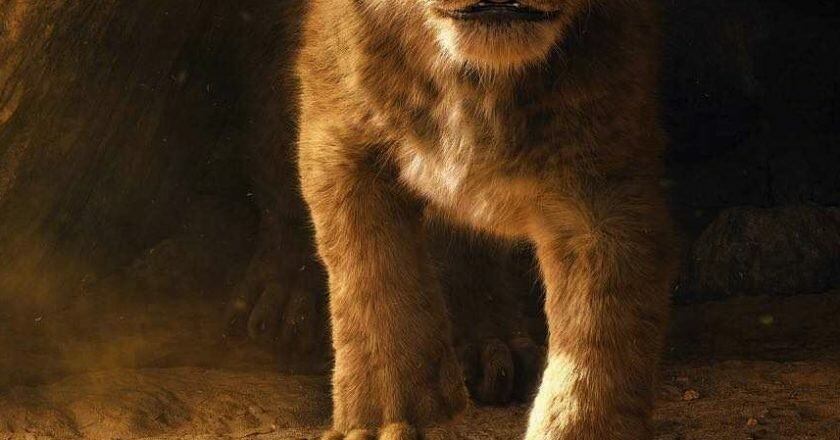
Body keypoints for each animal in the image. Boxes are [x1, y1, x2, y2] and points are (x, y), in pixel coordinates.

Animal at [295, 0, 677, 438]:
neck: (478, 83)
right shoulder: (337, 131)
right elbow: (372, 280)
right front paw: (385, 420)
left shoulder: (604, 179)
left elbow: (602, 325)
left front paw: (579, 427)